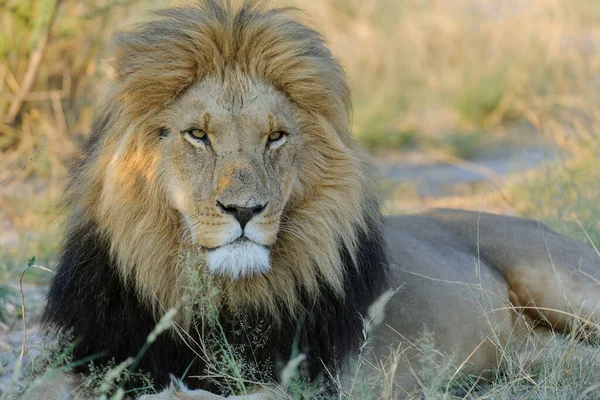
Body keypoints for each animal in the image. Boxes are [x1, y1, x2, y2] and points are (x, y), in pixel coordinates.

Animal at [25, 0, 600, 400]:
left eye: (275, 137)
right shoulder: (94, 355)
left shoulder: (308, 378)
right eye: (198, 136)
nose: (244, 211)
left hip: (564, 282)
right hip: (535, 351)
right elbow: (42, 387)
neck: (216, 296)